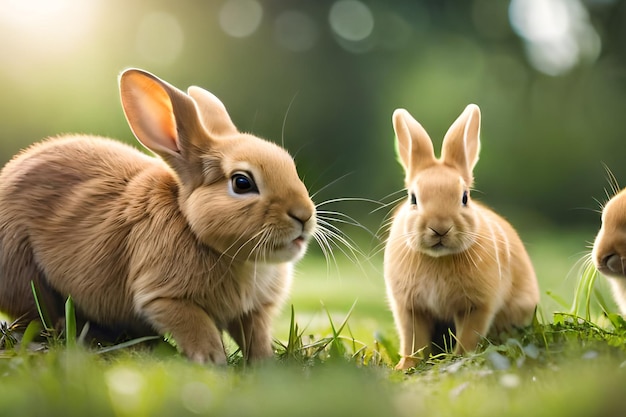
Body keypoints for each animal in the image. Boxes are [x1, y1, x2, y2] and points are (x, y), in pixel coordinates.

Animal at [0, 69, 314, 364]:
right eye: (242, 183)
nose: (304, 215)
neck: (191, 226)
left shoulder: (253, 313)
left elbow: (255, 337)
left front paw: (265, 364)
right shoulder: (164, 298)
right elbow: (198, 328)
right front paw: (212, 361)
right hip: (22, 272)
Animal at [382, 103, 540, 368]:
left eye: (464, 197)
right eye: (413, 199)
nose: (440, 227)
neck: (438, 258)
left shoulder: (476, 306)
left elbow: (468, 335)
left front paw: (460, 359)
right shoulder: (410, 308)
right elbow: (413, 340)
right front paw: (406, 367)